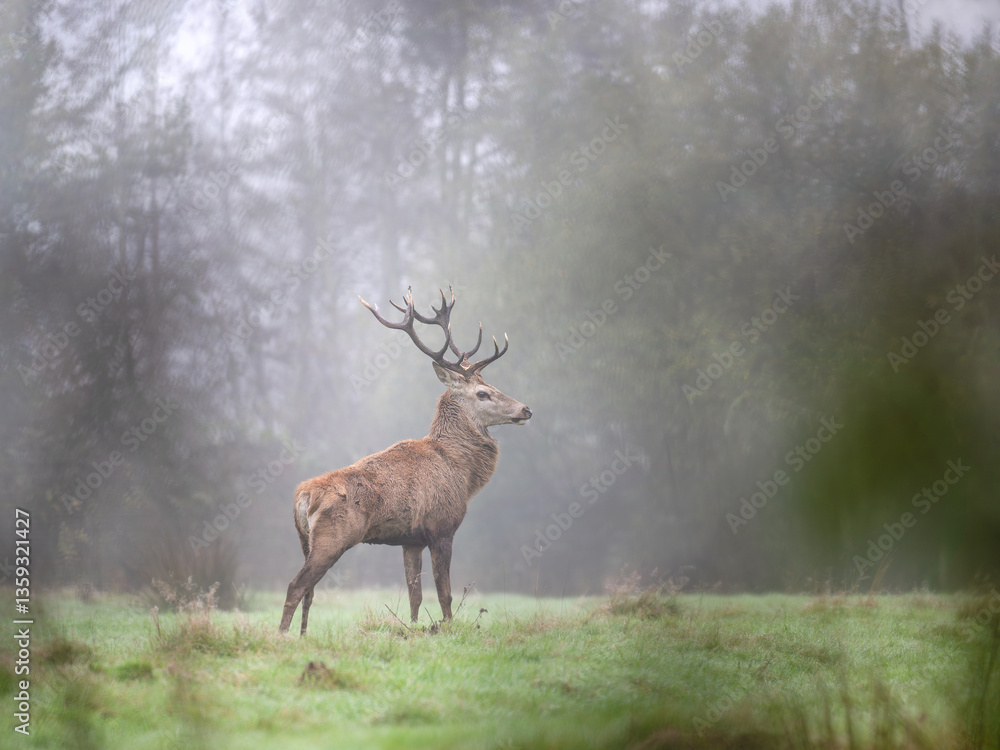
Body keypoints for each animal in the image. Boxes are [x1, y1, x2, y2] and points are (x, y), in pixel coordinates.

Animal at [279, 287, 531, 635]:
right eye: (483, 393)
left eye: (493, 386)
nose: (526, 409)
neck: (462, 473)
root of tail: (302, 497)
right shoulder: (442, 527)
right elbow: (444, 593)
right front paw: (447, 628)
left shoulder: (410, 540)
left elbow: (415, 594)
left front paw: (413, 630)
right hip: (333, 537)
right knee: (296, 586)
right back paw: (282, 636)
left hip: (304, 539)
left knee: (309, 591)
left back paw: (303, 636)